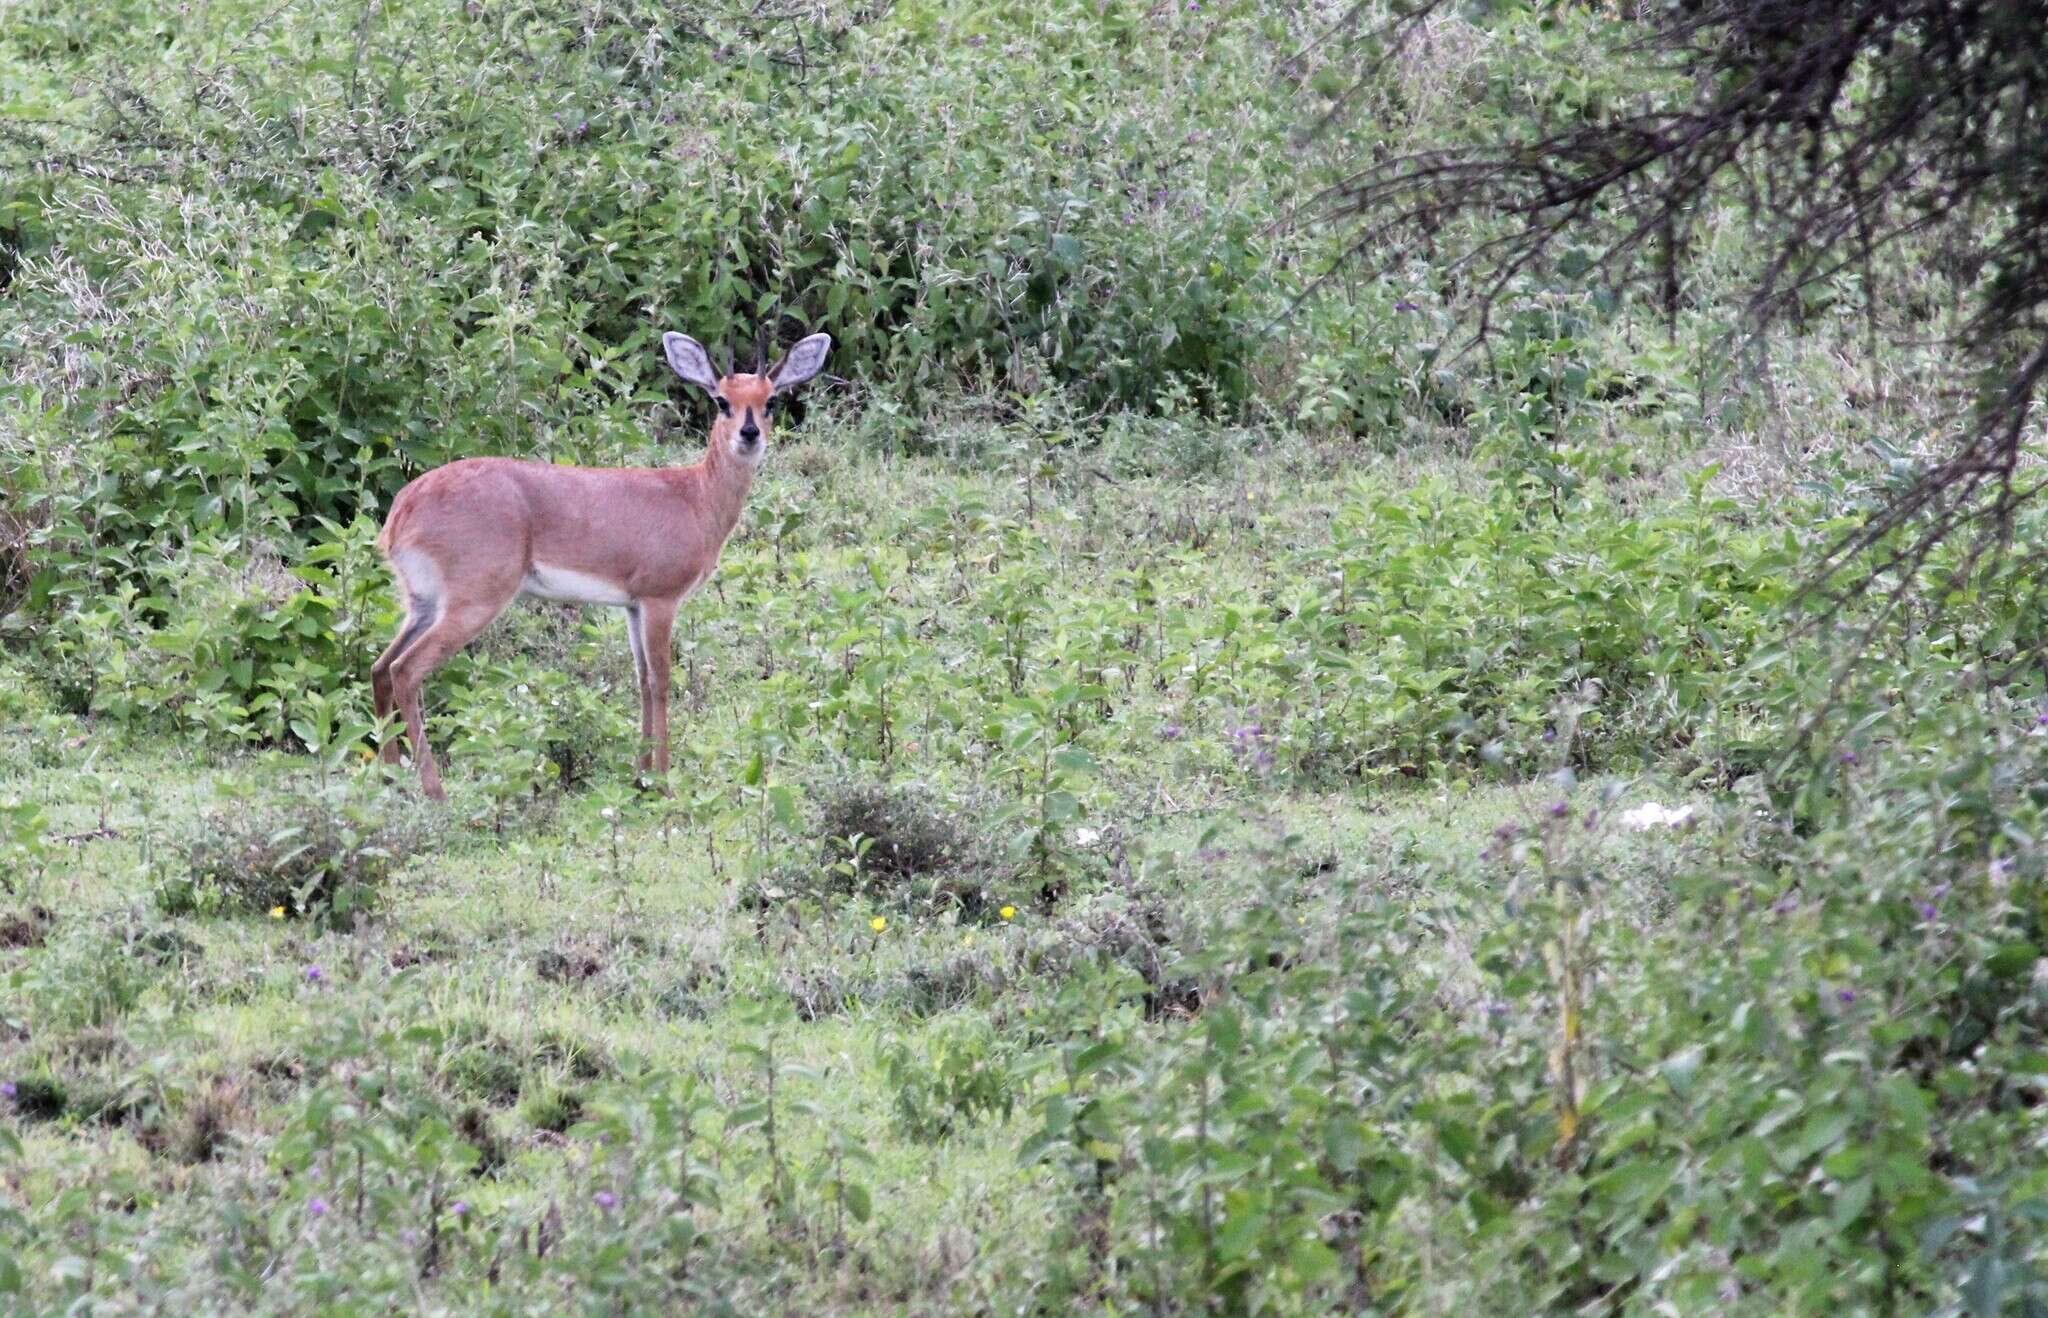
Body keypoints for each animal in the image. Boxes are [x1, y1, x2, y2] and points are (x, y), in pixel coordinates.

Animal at [372, 329, 827, 802]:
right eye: (722, 400)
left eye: (770, 400)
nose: (749, 433)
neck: (694, 497)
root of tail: (404, 507)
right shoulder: (660, 600)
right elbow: (662, 681)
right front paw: (664, 782)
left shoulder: (631, 606)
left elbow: (641, 680)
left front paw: (642, 776)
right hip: (474, 603)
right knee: (405, 671)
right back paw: (435, 792)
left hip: (422, 604)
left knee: (380, 669)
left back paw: (389, 780)